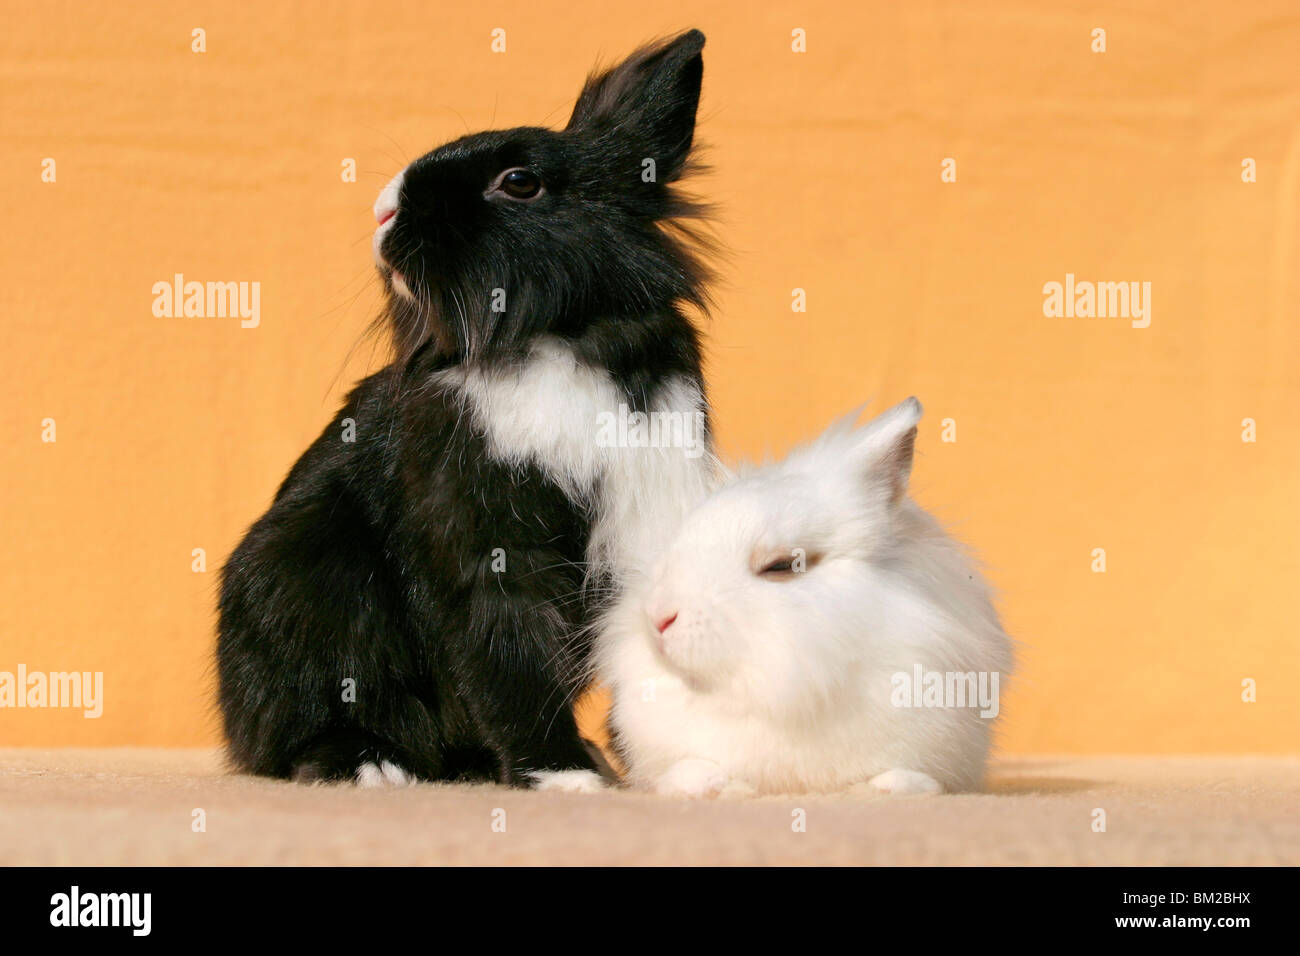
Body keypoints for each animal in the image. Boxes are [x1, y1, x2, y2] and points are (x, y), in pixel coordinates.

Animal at [217, 31, 717, 790]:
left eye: (519, 182)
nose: (383, 210)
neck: (556, 339)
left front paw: (663, 767)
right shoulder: (489, 548)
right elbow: (508, 657)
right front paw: (562, 774)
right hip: (301, 586)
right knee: (300, 728)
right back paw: (368, 764)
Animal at [598, 398, 1013, 801]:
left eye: (781, 565)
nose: (658, 618)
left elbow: (909, 778)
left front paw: (890, 787)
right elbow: (686, 771)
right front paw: (714, 784)